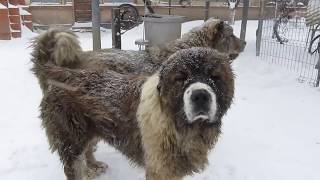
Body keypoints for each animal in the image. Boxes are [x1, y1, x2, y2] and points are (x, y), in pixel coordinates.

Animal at [31, 43, 235, 179]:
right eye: (180, 78)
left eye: (215, 77)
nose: (200, 95)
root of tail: (64, 73)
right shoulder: (159, 168)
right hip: (71, 140)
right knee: (74, 165)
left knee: (88, 148)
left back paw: (93, 166)